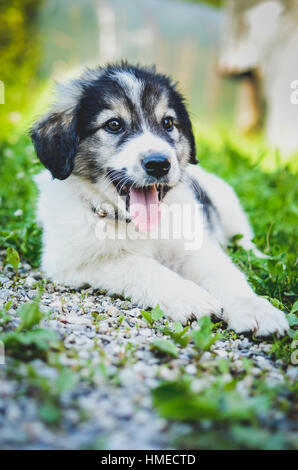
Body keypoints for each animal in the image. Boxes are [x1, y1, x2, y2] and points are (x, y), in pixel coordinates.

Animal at [30, 64, 288, 338]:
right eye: (114, 125)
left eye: (167, 122)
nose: (158, 164)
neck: (133, 225)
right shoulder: (72, 262)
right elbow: (138, 265)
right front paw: (190, 297)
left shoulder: (193, 243)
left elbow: (224, 272)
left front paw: (256, 309)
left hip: (228, 204)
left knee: (244, 239)